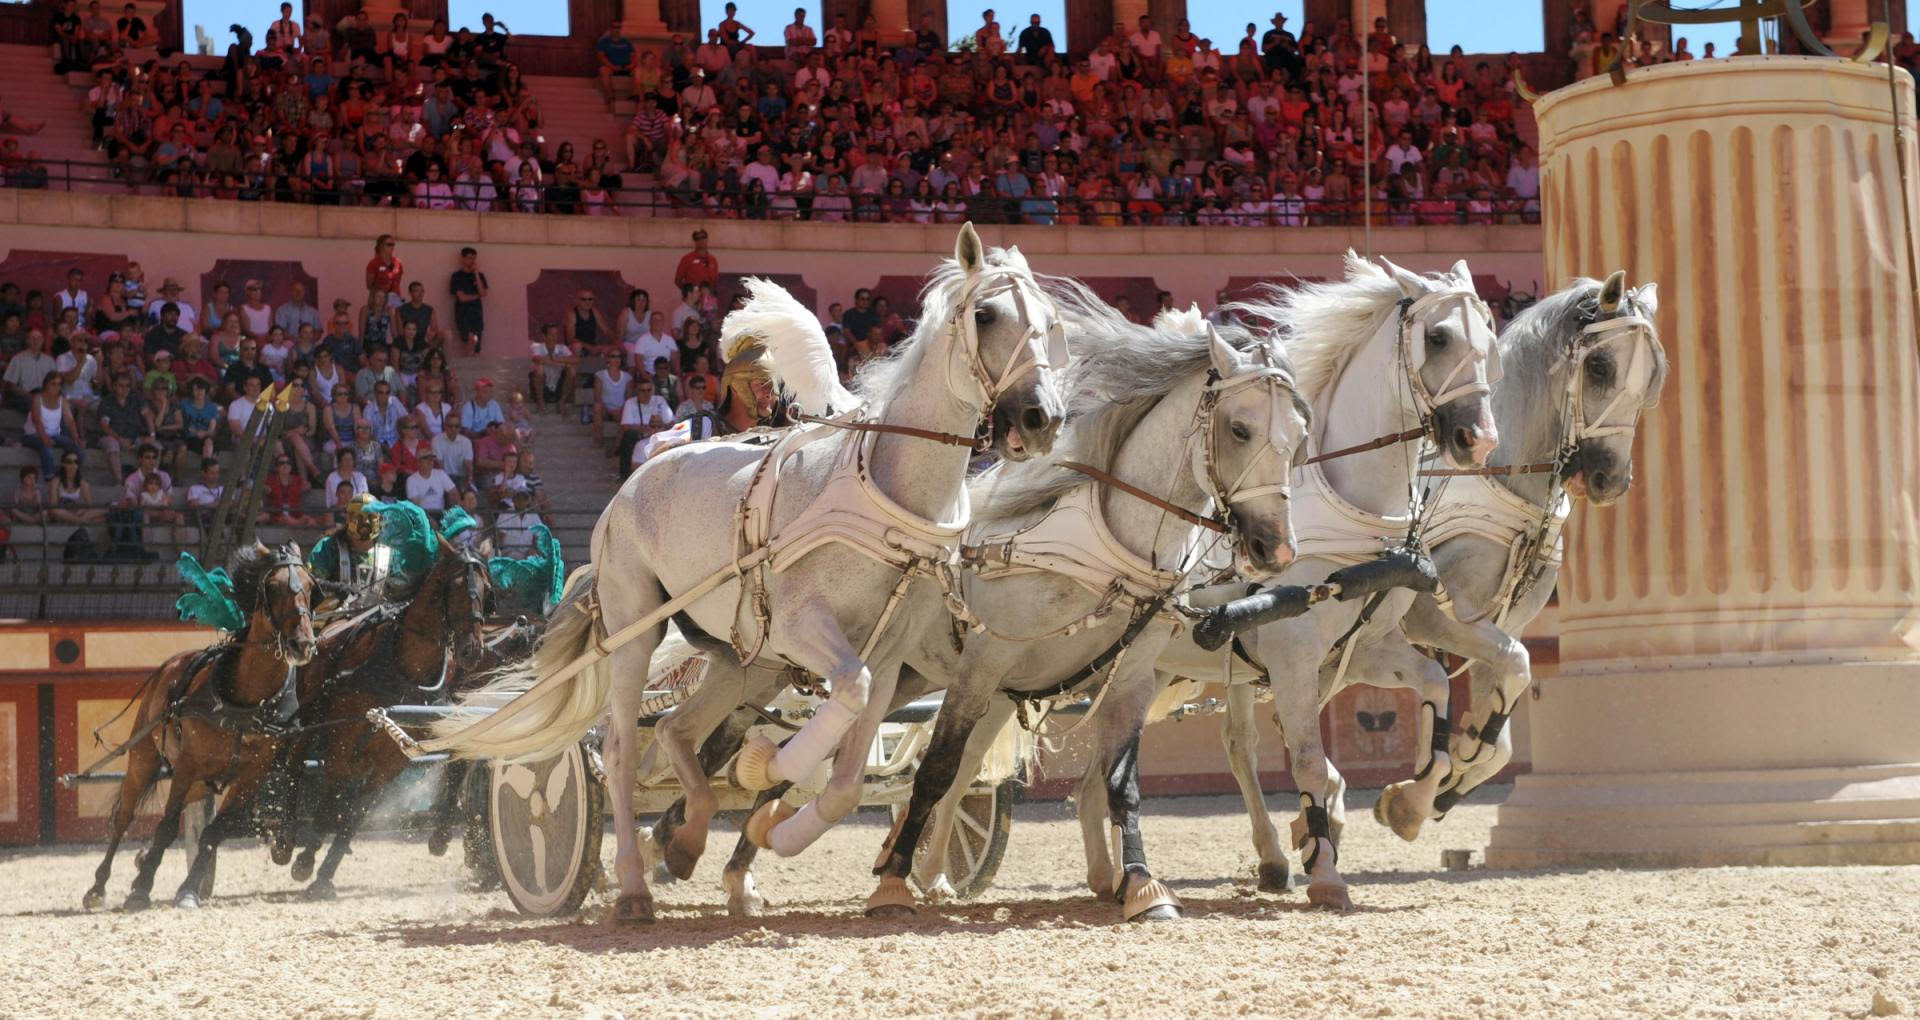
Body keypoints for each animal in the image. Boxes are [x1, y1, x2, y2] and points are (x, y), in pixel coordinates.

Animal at [81, 545, 316, 914]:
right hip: (145, 758)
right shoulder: (188, 764)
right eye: (273, 587)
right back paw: (98, 887)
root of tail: (168, 666)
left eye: (309, 585)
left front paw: (189, 888)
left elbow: (214, 833)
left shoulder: (250, 776)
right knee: (124, 817)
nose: (301, 643)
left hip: (200, 783)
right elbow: (165, 827)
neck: (246, 702)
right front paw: (141, 889)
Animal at [426, 225, 1075, 925]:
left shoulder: (889, 653)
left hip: (743, 660)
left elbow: (846, 781)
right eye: (986, 316)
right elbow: (836, 712)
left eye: (1050, 323)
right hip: (637, 632)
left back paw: (686, 843)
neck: (887, 490)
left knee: (678, 730)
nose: (1042, 418)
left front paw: (778, 827)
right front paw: (768, 768)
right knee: (621, 751)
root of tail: (635, 480)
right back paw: (633, 883)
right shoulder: (804, 628)